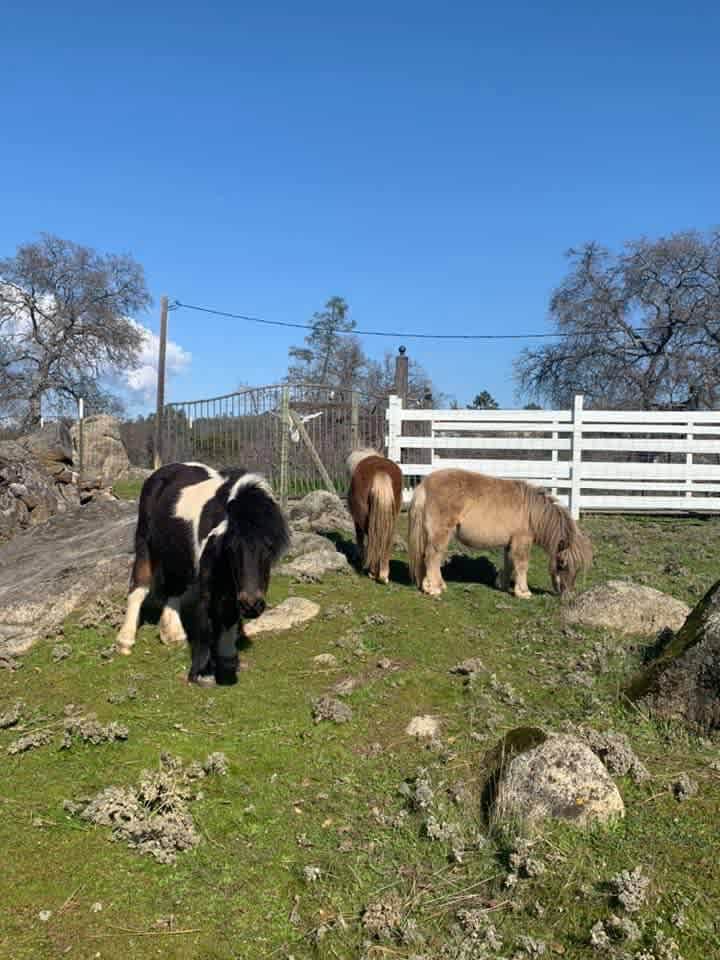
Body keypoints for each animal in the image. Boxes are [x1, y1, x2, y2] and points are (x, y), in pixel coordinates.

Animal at [116, 464, 288, 684]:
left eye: (269, 547)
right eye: (231, 548)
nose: (252, 605)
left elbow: (230, 612)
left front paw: (227, 658)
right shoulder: (207, 577)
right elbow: (206, 618)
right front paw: (202, 672)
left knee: (175, 586)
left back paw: (173, 634)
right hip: (145, 542)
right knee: (139, 588)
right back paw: (125, 640)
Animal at [348, 446, 404, 580]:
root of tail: (380, 472)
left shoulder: (356, 521)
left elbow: (360, 538)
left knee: (372, 537)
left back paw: (372, 571)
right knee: (386, 538)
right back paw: (383, 574)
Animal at [408, 466, 592, 596]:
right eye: (562, 563)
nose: (567, 593)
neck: (531, 512)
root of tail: (424, 485)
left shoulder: (510, 543)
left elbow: (510, 562)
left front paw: (503, 585)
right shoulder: (522, 541)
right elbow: (522, 564)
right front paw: (523, 592)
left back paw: (434, 585)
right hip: (441, 533)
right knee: (432, 556)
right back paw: (434, 589)